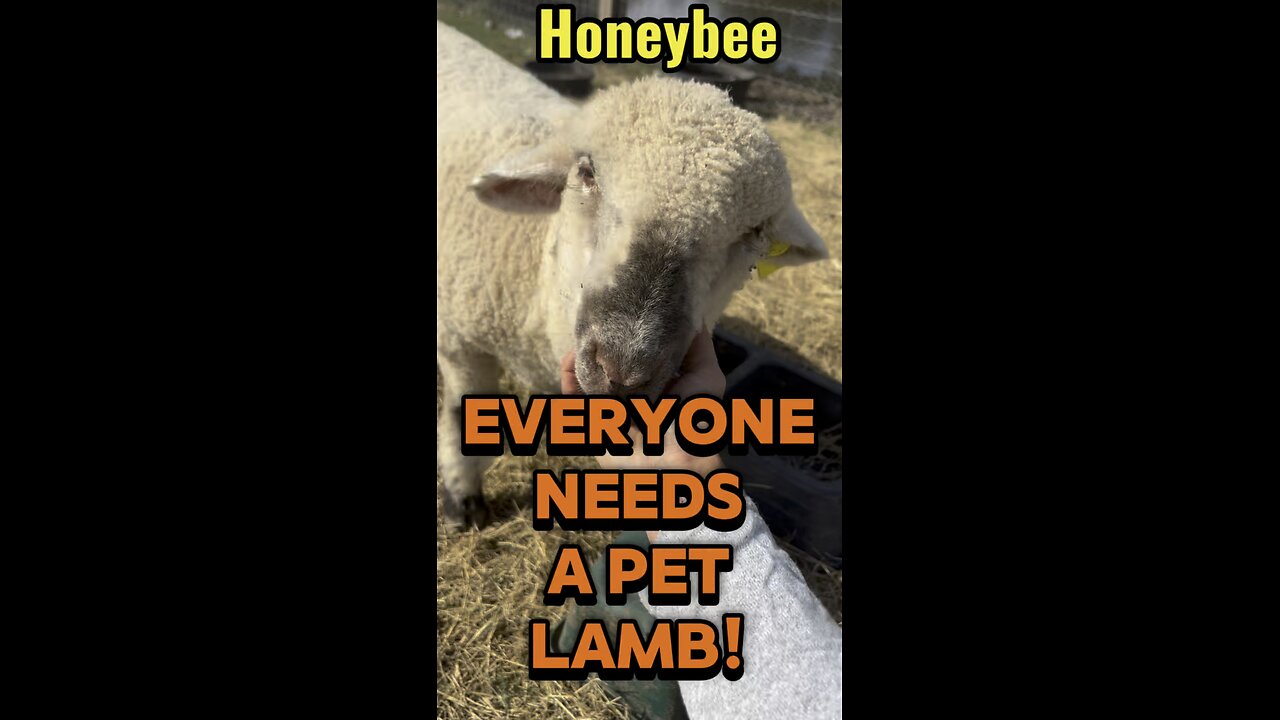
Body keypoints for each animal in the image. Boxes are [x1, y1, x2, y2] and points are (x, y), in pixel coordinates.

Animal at [436, 21, 827, 528]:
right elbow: (460, 419)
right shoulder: (459, 341)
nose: (623, 371)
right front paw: (462, 501)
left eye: (754, 232)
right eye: (586, 172)